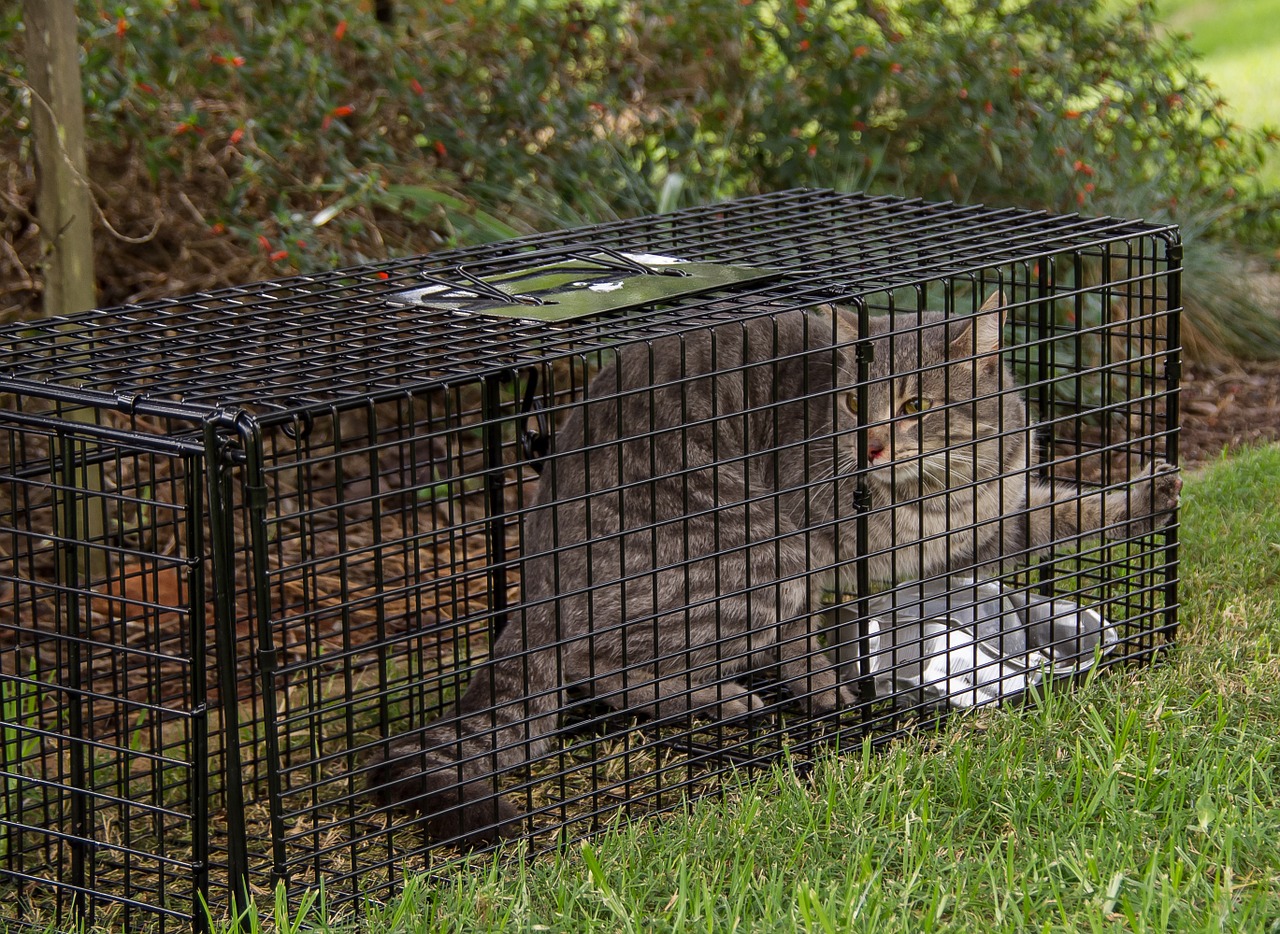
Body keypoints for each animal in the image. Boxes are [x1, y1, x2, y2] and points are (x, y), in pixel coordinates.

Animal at [368, 292, 1177, 844]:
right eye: (853, 403)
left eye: (916, 404)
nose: (872, 445)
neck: (936, 493)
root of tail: (534, 563)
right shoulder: (809, 552)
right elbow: (804, 647)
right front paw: (835, 694)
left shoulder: (982, 526)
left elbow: (1064, 511)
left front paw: (1146, 497)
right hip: (749, 550)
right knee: (602, 663)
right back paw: (722, 698)